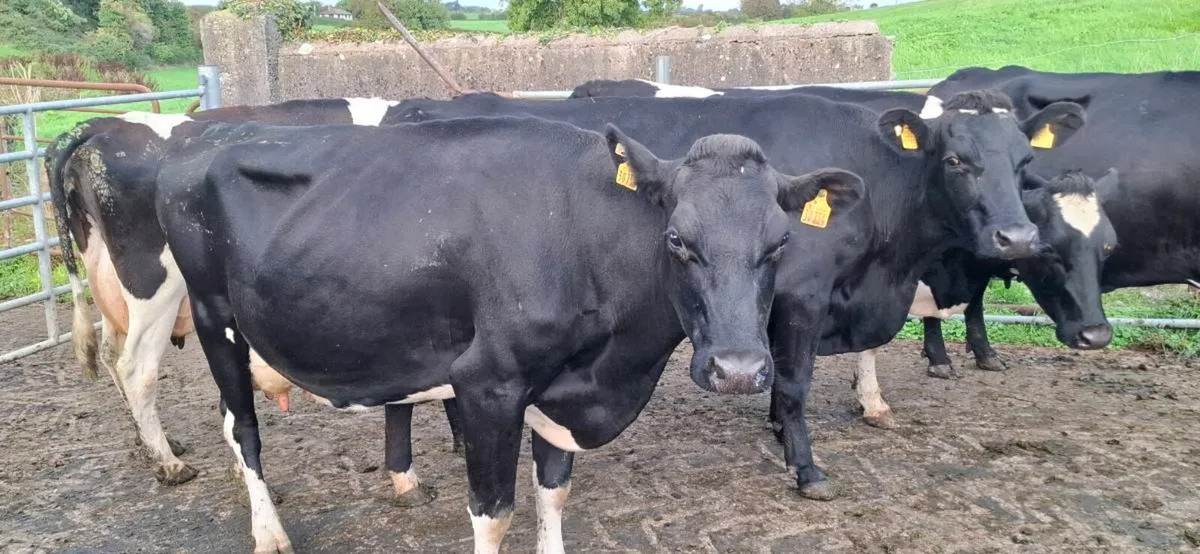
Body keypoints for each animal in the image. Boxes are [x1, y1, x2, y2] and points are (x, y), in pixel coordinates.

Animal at [46, 98, 461, 500]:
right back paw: (168, 462)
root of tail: (95, 127)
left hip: (110, 282)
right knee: (136, 368)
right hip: (153, 285)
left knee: (111, 354)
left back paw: (155, 445)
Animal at [154, 115, 865, 553]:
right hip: (215, 318)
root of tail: (205, 132)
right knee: (241, 427)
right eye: (676, 240)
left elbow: (555, 492)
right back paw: (268, 531)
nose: (738, 370)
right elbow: (493, 514)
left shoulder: (563, 389)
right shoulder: (489, 385)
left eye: (780, 243)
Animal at [384, 89, 1086, 499]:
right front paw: (806, 467)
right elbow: (796, 382)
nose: (1017, 236)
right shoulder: (803, 295)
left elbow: (778, 374)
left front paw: (786, 427)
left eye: (1024, 162)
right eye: (956, 160)